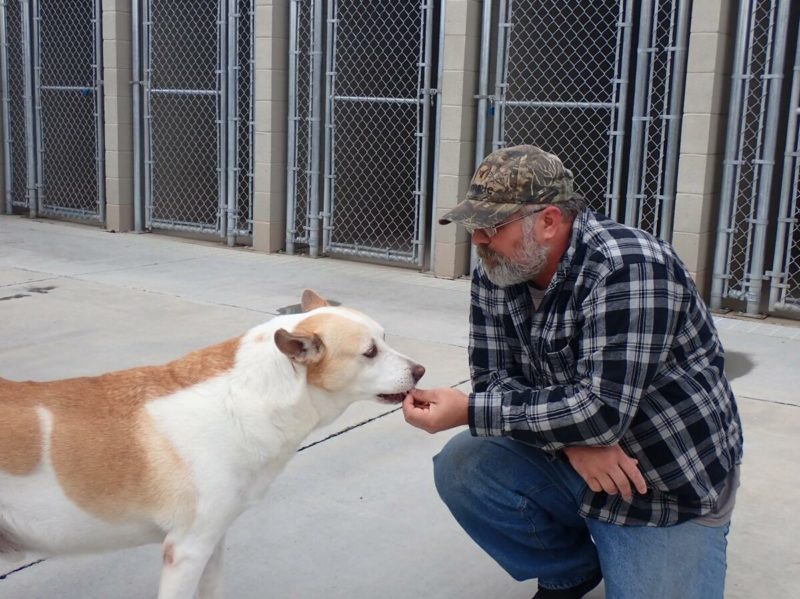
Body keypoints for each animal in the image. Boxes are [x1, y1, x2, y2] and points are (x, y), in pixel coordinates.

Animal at [0, 290, 424, 596]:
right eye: (370, 352)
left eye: (385, 338)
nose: (421, 370)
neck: (244, 399)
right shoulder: (186, 551)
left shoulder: (213, 543)